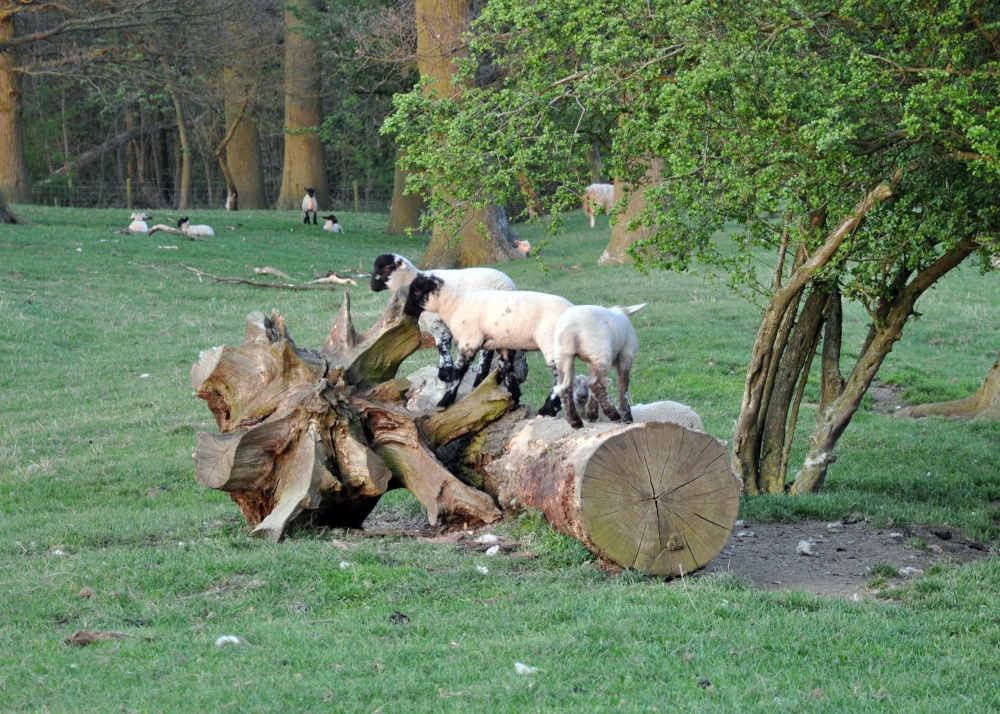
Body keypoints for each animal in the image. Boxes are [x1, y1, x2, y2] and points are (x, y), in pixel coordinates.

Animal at [371, 253, 522, 385]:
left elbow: (443, 349)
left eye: (387, 267)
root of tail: (507, 286)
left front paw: (448, 376)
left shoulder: (437, 323)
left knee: (486, 354)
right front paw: (442, 374)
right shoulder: (440, 325)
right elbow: (442, 347)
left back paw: (479, 381)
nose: (371, 285)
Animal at [403, 274, 572, 412]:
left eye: (415, 291)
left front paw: (444, 402)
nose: (406, 311)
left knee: (561, 377)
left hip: (550, 342)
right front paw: (513, 398)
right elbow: (506, 369)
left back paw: (548, 409)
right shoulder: (503, 344)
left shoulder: (470, 340)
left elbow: (458, 371)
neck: (455, 305)